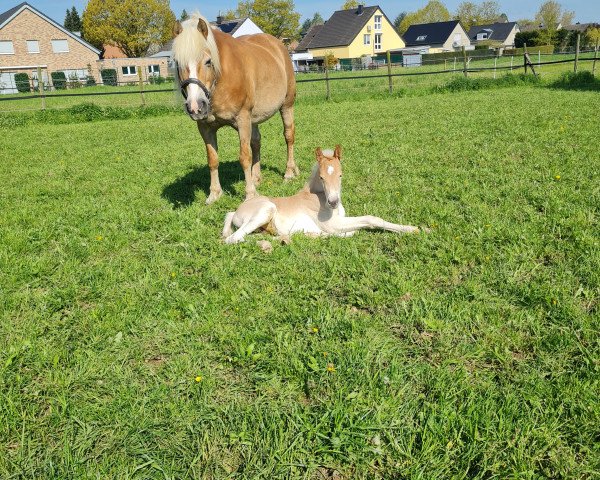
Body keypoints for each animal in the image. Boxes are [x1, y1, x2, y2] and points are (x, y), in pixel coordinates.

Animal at [172, 14, 298, 203]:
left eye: (208, 61)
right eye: (177, 63)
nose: (195, 106)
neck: (222, 78)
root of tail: (278, 46)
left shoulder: (242, 119)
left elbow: (244, 157)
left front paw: (250, 194)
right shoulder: (205, 127)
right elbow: (212, 159)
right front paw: (214, 194)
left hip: (286, 106)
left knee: (288, 136)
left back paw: (289, 173)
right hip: (254, 118)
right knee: (256, 142)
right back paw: (256, 178)